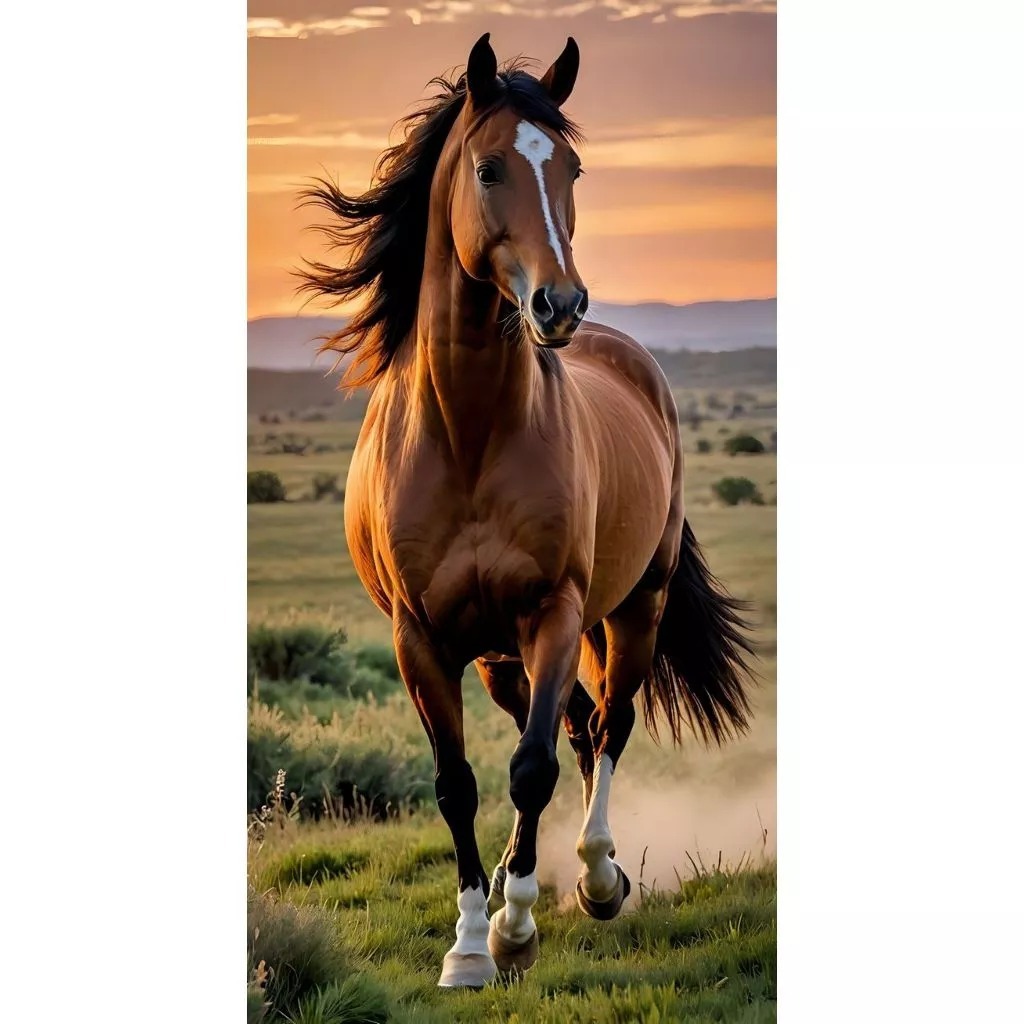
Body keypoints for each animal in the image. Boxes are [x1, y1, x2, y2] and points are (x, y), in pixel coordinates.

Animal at [297, 33, 755, 989]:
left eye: (573, 168)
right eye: (488, 167)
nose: (560, 305)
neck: (469, 430)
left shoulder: (556, 611)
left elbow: (533, 767)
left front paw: (514, 925)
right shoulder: (422, 638)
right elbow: (458, 782)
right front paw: (472, 942)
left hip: (632, 608)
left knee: (606, 726)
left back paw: (597, 877)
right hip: (497, 658)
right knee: (579, 725)